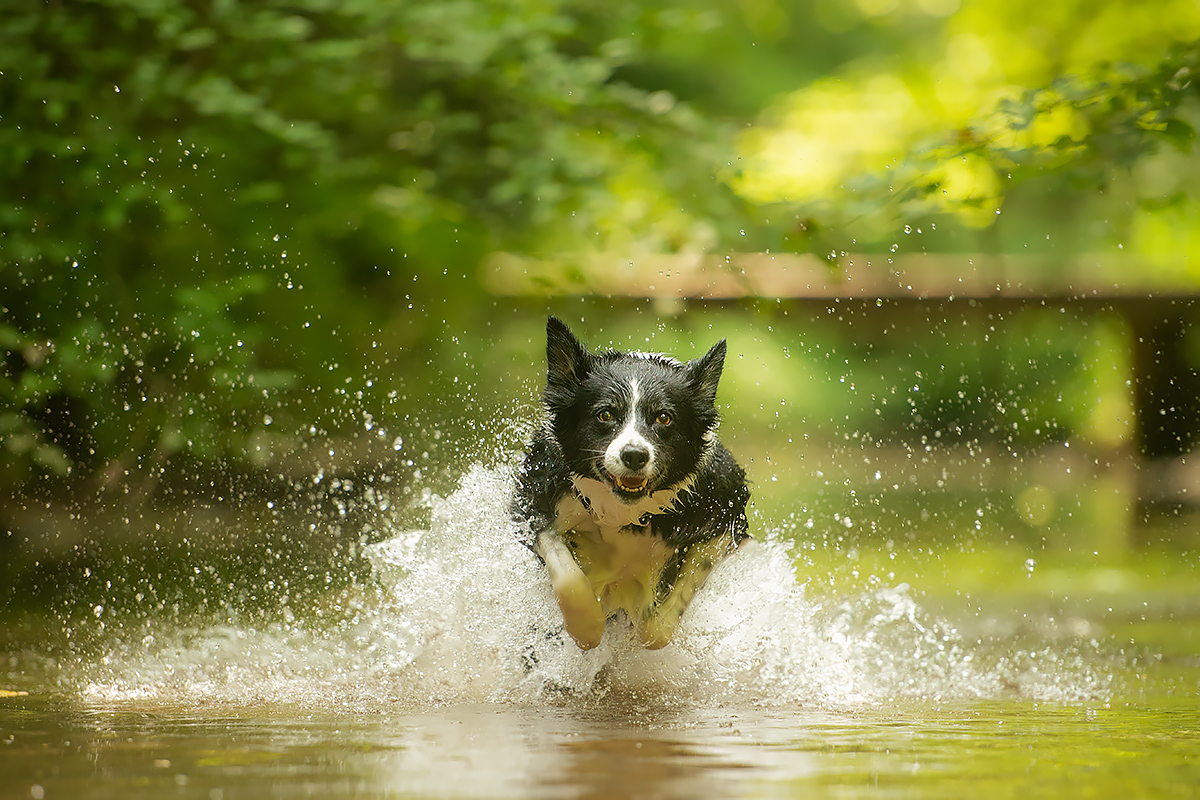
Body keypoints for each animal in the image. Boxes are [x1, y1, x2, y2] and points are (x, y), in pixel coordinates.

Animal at [513, 314, 748, 652]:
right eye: (605, 414)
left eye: (664, 418)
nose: (634, 455)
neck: (624, 512)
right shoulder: (534, 500)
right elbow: (569, 577)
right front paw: (587, 628)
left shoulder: (726, 516)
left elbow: (658, 628)